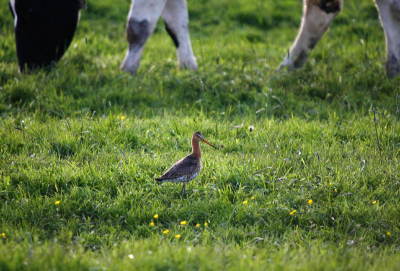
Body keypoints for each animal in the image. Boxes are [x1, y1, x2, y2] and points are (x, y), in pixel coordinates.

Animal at [121, 0, 400, 77]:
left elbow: (139, 24)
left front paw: (128, 70)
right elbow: (175, 20)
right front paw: (188, 67)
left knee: (391, 9)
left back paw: (392, 68)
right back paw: (289, 66)